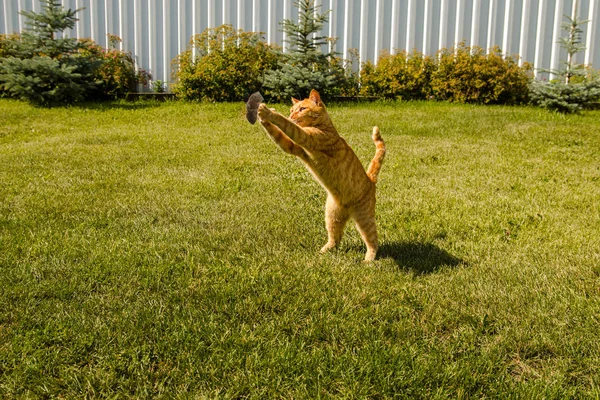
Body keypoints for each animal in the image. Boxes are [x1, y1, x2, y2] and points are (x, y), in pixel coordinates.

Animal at [256, 89, 386, 260]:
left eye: (302, 109)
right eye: (292, 110)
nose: (292, 115)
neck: (325, 127)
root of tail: (370, 179)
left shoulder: (304, 137)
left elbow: (285, 124)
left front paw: (268, 112)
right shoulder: (292, 147)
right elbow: (277, 132)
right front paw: (262, 117)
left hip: (364, 219)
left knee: (372, 240)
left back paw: (369, 260)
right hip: (331, 216)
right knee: (335, 238)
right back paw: (324, 251)